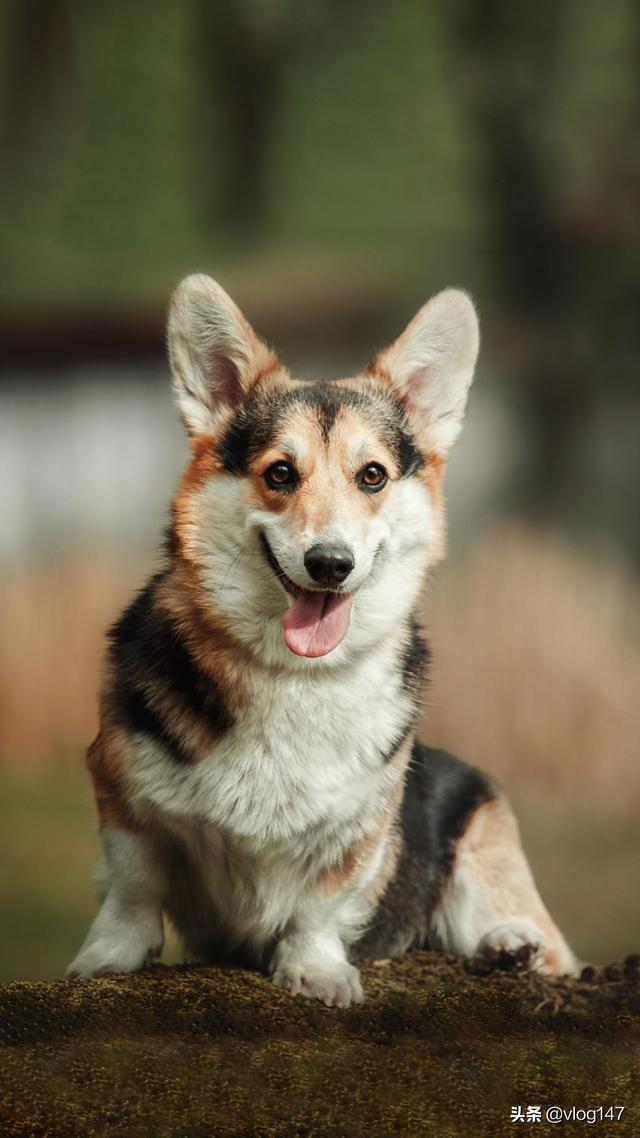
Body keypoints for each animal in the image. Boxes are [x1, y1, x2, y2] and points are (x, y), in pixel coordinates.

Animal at [67, 275, 576, 1005]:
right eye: (280, 474)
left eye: (373, 476)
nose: (330, 563)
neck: (294, 673)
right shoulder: (121, 790)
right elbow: (133, 886)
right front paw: (109, 958)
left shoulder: (357, 831)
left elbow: (320, 904)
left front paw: (315, 971)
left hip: (484, 837)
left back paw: (510, 947)